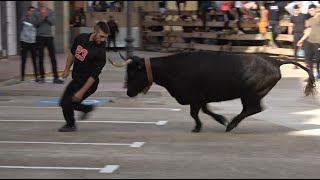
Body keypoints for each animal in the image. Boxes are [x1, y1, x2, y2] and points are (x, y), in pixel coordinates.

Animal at [108, 51, 318, 133]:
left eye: (133, 73)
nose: (128, 93)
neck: (173, 69)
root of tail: (276, 61)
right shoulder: (202, 97)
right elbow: (205, 110)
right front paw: (220, 119)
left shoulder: (195, 97)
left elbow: (195, 113)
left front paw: (199, 127)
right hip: (250, 95)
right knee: (253, 109)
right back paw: (230, 123)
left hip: (251, 94)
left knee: (254, 109)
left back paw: (231, 125)